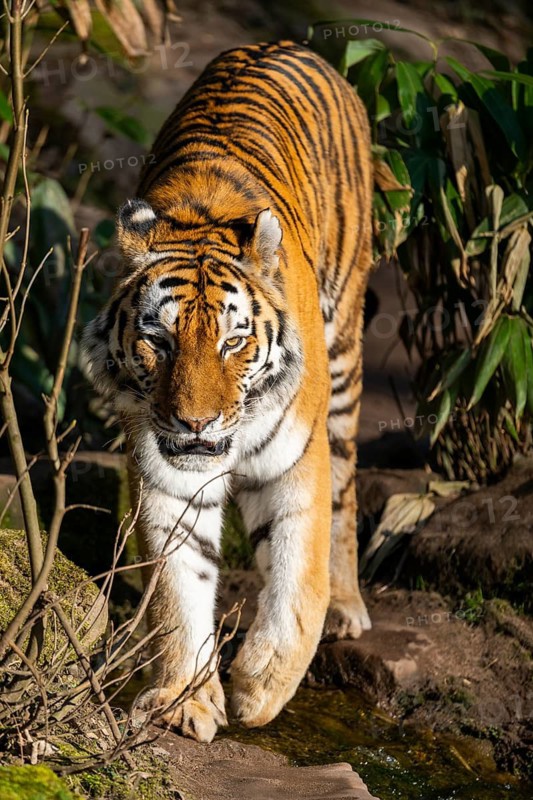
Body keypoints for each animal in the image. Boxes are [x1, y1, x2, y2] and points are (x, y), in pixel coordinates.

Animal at [82, 40, 373, 743]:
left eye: (233, 342)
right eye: (158, 340)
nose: (194, 424)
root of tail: (287, 44)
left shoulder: (298, 459)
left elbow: (299, 581)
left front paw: (260, 690)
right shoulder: (166, 476)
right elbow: (177, 587)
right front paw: (187, 699)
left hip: (345, 358)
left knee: (347, 489)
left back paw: (348, 605)